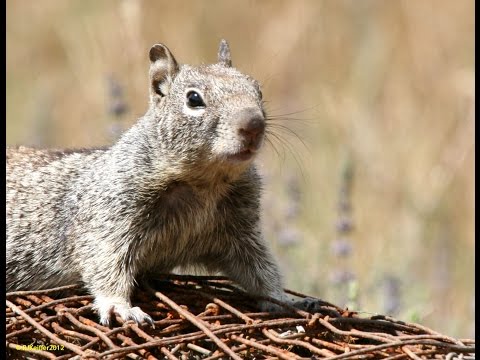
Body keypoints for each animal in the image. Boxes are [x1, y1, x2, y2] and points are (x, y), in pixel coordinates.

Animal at [7, 40, 316, 326]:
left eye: (258, 89)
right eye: (194, 99)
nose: (254, 125)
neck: (204, 183)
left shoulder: (242, 232)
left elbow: (261, 268)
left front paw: (286, 299)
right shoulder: (111, 216)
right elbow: (105, 261)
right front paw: (120, 307)